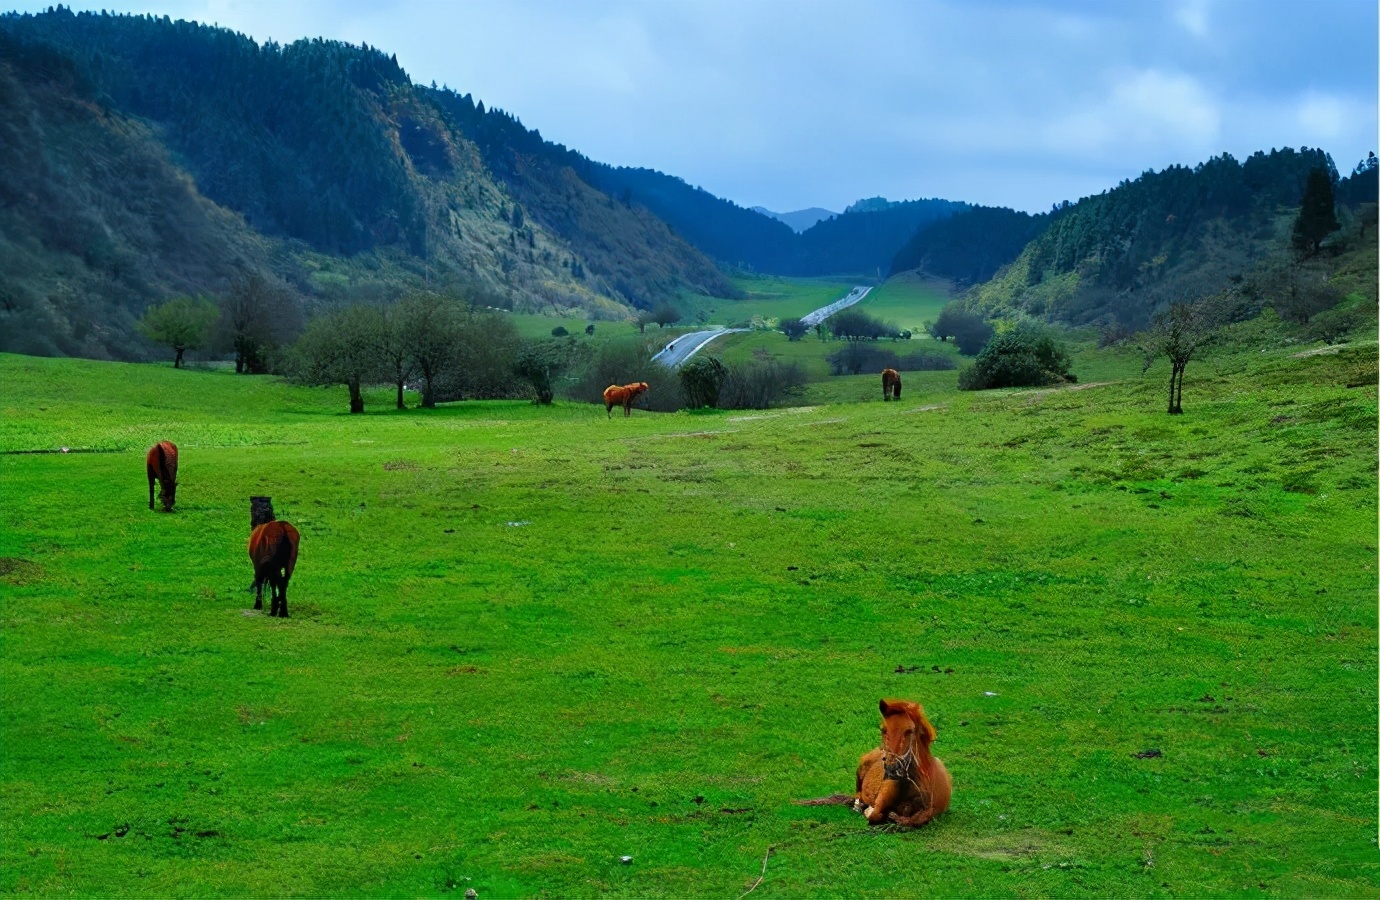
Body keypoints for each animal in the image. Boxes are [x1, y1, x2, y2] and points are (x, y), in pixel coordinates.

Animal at [794, 695, 954, 828]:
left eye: (909, 731)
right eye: (883, 729)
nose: (892, 768)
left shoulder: (934, 810)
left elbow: (915, 819)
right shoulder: (880, 802)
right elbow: (875, 815)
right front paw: (872, 812)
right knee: (857, 796)